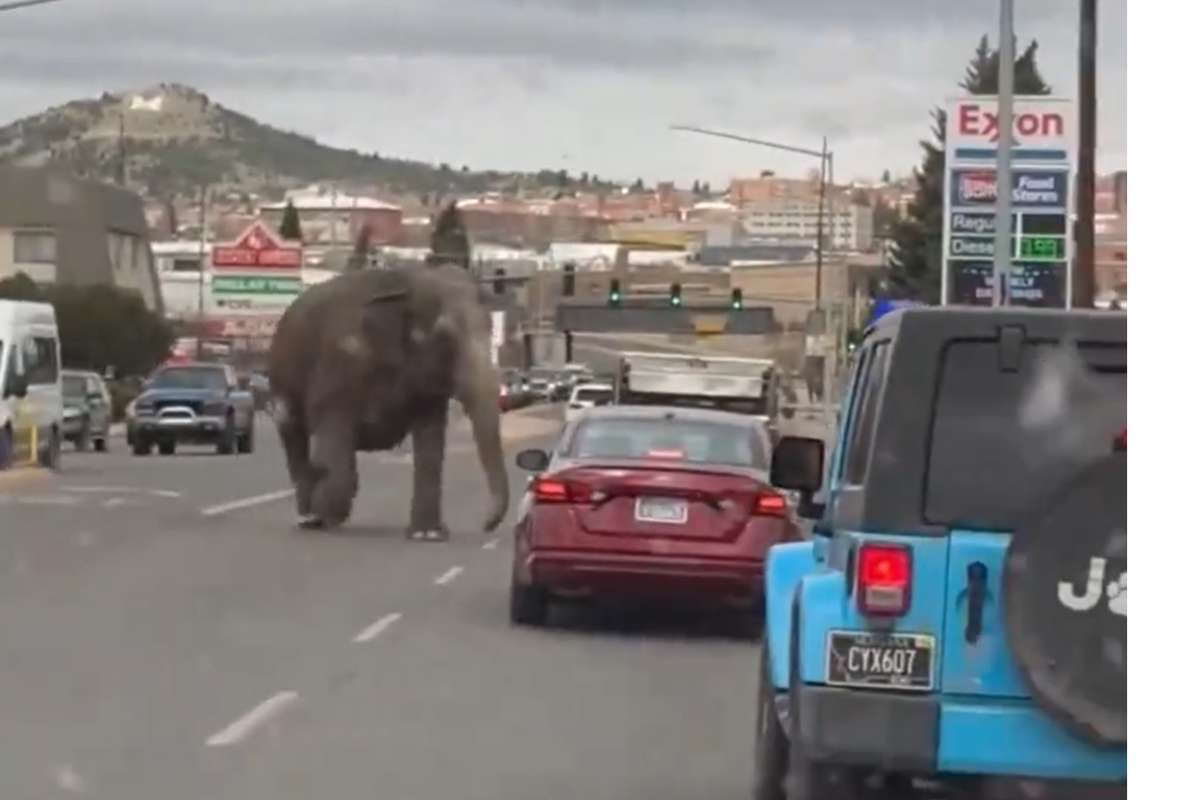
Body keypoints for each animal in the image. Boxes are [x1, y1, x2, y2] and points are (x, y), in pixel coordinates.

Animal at [267, 263, 511, 537]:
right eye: (445, 334)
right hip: (281, 378)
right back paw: (308, 517)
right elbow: (334, 427)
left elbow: (430, 439)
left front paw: (427, 534)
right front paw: (324, 516)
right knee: (293, 433)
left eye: (491, 327)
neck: (407, 280)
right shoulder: (341, 360)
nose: (486, 525)